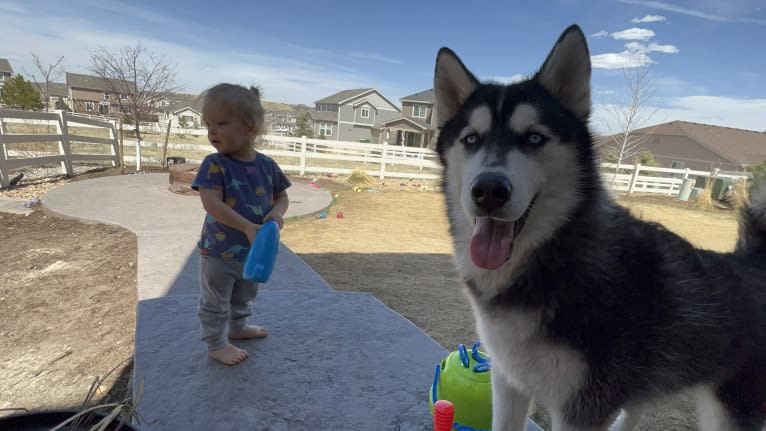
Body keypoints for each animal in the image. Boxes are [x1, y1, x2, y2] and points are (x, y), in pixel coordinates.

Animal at [436, 24, 764, 431]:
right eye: (471, 139)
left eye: (534, 137)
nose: (489, 191)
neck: (555, 259)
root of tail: (753, 260)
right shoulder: (508, 381)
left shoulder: (581, 410)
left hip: (731, 408)